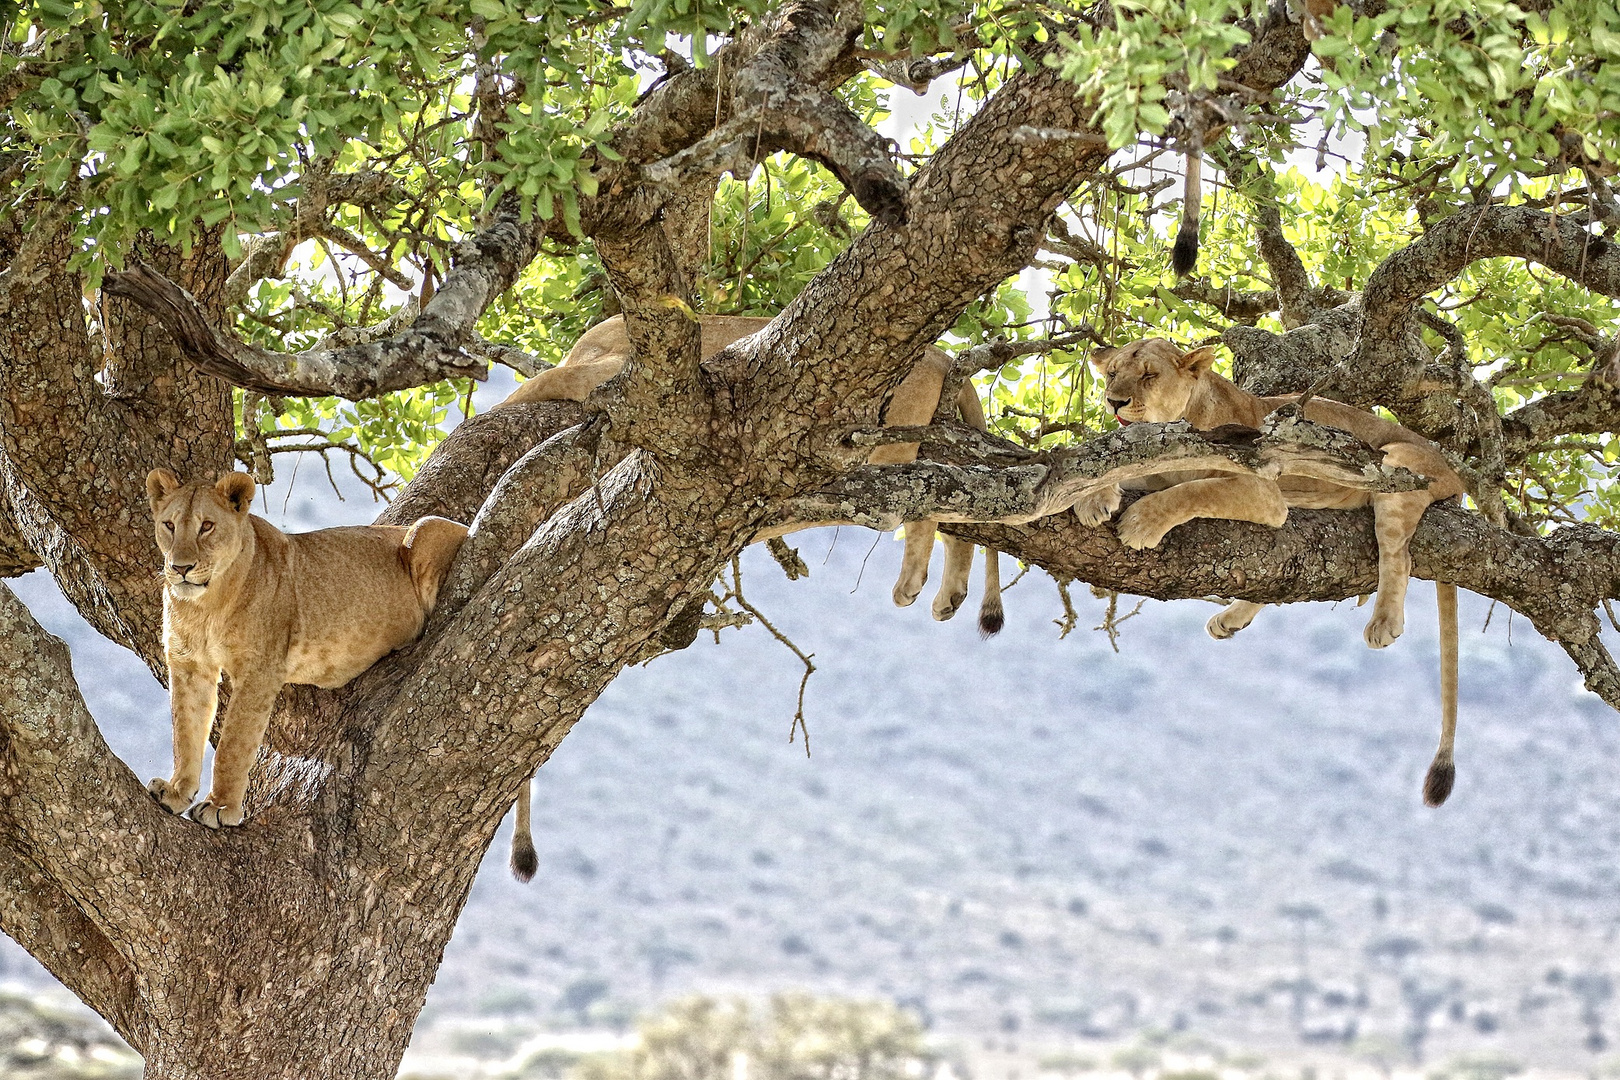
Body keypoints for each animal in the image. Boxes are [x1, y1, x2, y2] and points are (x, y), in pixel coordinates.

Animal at [145, 469, 469, 835]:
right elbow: (185, 732)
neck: (205, 606)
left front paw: (220, 807)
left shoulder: (260, 671)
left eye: (207, 526)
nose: (180, 567)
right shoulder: (189, 664)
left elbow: (233, 745)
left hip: (425, 529)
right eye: (169, 525)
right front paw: (176, 793)